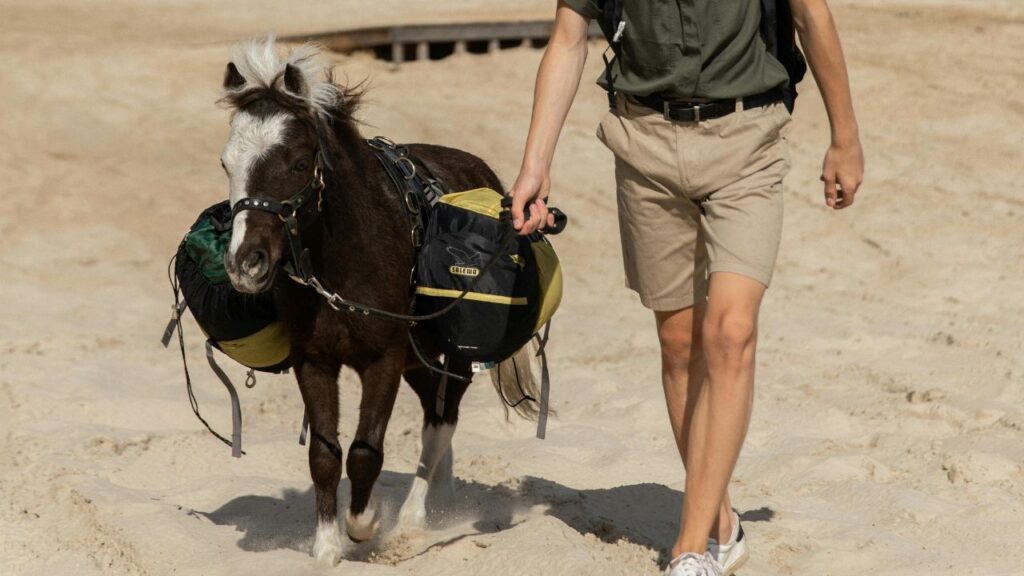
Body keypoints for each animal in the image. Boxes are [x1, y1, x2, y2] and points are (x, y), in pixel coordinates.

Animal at [218, 38, 538, 565]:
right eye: (226, 164)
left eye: (299, 162)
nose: (245, 263)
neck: (344, 261)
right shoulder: (314, 361)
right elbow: (325, 455)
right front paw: (326, 547)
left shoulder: (384, 359)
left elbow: (366, 452)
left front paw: (364, 524)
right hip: (418, 358)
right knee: (434, 413)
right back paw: (442, 497)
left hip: (448, 355)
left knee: (441, 421)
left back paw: (415, 519)